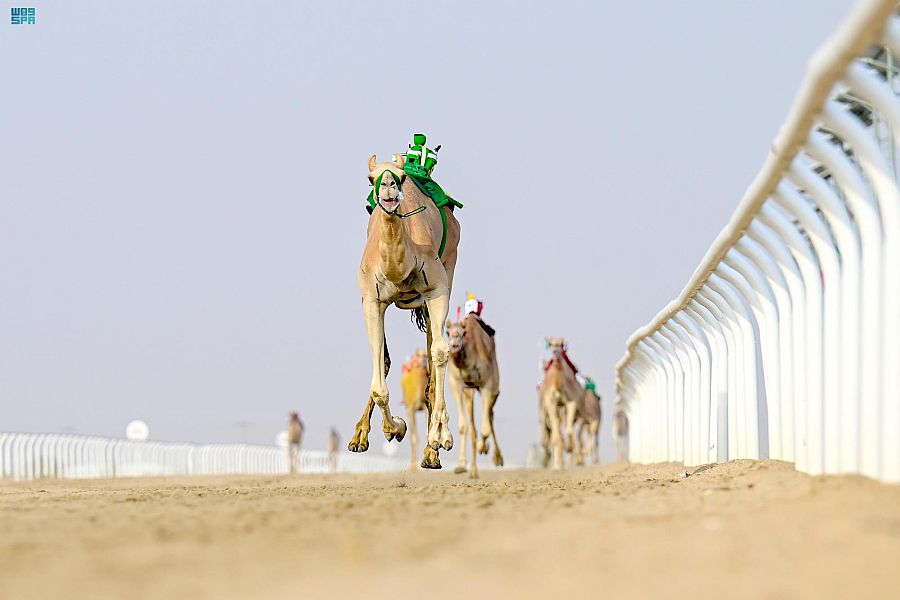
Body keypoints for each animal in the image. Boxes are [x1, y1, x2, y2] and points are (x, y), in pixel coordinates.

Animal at [350, 154, 460, 468]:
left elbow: (440, 353)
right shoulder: (371, 300)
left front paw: (440, 438)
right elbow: (380, 374)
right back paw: (359, 438)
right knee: (386, 360)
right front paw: (395, 428)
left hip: (448, 265)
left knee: (434, 355)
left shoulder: (437, 289)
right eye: (370, 178)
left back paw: (431, 452)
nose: (388, 186)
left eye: (399, 176)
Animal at [446, 314, 502, 478]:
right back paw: (472, 470)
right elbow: (463, 426)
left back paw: (496, 457)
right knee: (472, 425)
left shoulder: (487, 384)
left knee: (490, 415)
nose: (454, 343)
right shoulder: (456, 384)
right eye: (447, 332)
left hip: (495, 386)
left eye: (463, 333)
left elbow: (485, 428)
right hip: (469, 391)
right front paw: (461, 465)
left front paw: (483, 447)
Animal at [536, 338, 588, 468]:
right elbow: (556, 435)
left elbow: (568, 430)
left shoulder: (572, 401)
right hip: (543, 408)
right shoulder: (550, 401)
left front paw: (576, 457)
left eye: (561, 344)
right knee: (548, 432)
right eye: (551, 344)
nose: (555, 351)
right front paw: (557, 464)